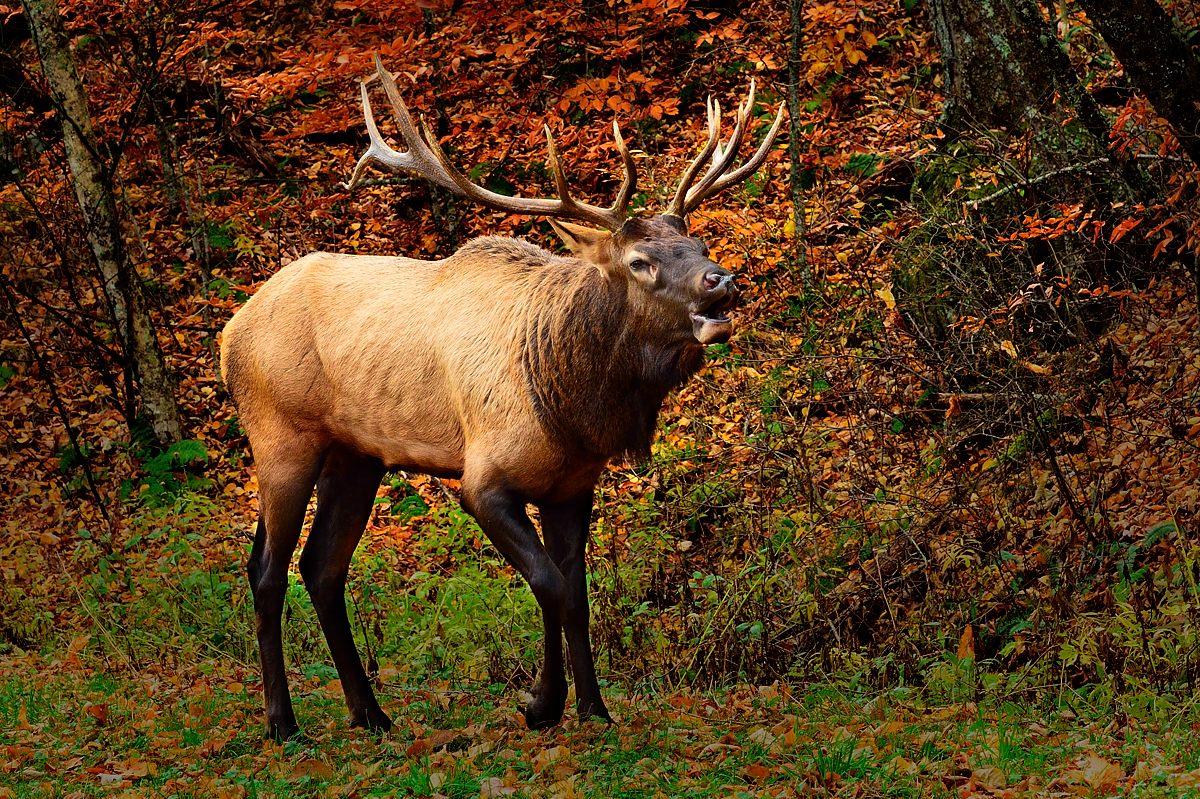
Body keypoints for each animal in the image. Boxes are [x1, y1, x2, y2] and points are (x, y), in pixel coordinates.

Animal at [220, 55, 785, 740]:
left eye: (699, 246)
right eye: (640, 260)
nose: (720, 281)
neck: (569, 405)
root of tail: (230, 332)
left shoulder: (572, 488)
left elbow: (578, 595)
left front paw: (594, 708)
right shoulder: (483, 480)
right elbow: (550, 584)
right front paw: (541, 704)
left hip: (356, 457)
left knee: (321, 567)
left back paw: (371, 713)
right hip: (280, 437)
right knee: (267, 570)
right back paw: (282, 721)